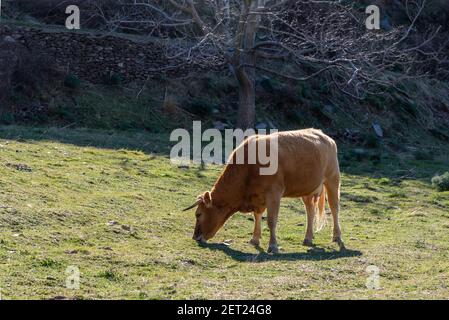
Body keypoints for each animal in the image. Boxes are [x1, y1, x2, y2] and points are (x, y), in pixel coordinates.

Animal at [182, 128, 344, 252]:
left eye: (198, 214)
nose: (195, 237)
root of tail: (324, 136)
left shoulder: (274, 194)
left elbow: (271, 220)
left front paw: (272, 245)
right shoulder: (257, 198)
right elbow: (257, 216)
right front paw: (254, 239)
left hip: (332, 179)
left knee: (334, 208)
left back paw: (337, 237)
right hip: (307, 189)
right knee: (310, 210)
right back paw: (308, 238)